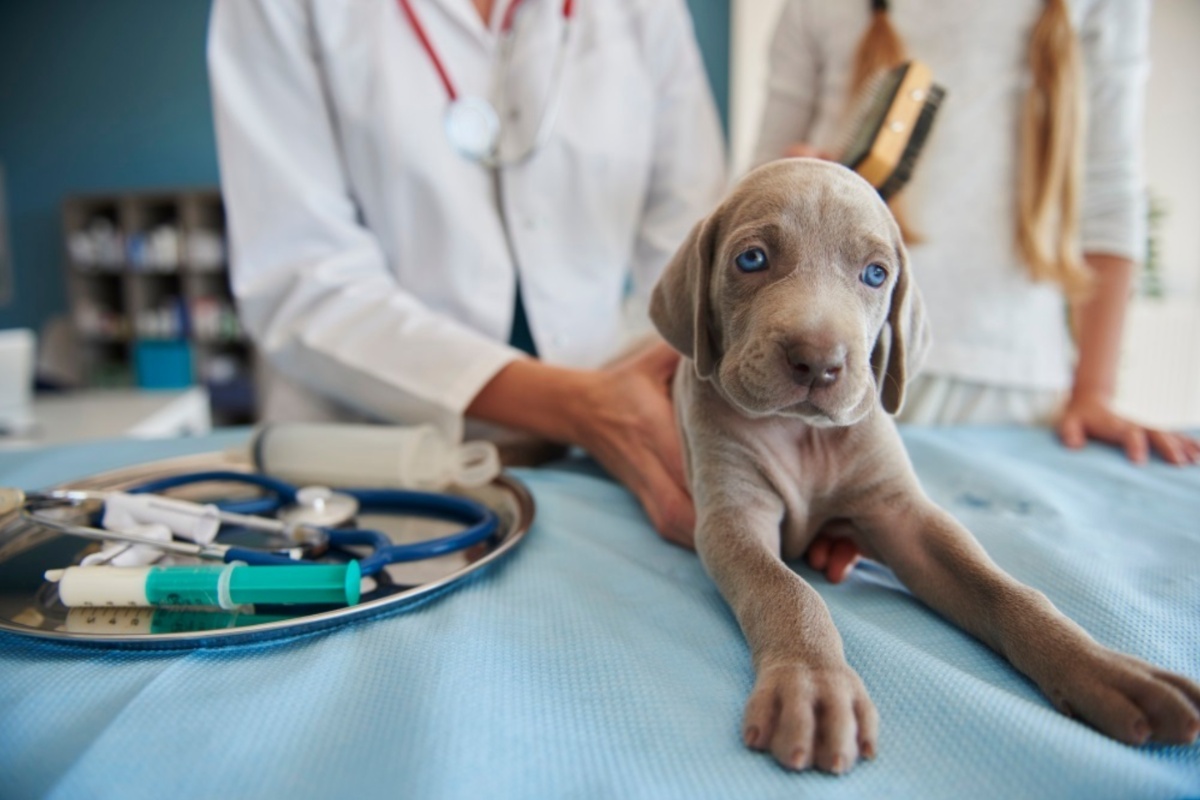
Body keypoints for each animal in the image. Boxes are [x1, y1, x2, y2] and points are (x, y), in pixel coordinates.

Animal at [652, 158, 1200, 777]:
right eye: (751, 260)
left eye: (875, 274)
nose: (818, 362)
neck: (802, 435)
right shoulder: (733, 518)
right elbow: (785, 590)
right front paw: (814, 686)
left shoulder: (903, 517)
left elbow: (1003, 589)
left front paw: (1102, 667)